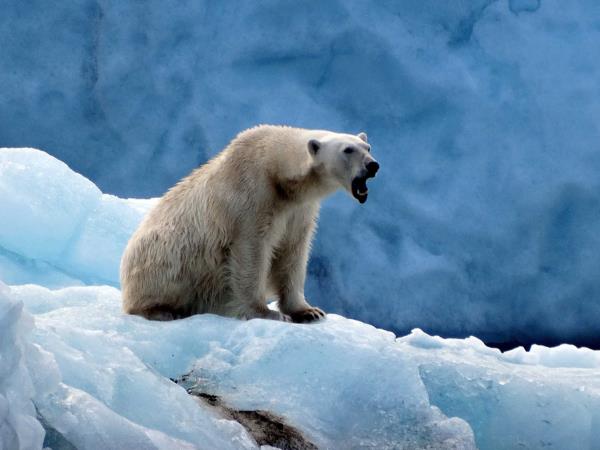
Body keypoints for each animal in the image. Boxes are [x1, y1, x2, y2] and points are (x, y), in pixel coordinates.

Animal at [119, 126, 378, 322]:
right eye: (348, 149)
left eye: (368, 147)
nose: (373, 165)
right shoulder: (252, 196)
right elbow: (251, 251)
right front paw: (268, 313)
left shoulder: (299, 211)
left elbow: (293, 252)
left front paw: (309, 311)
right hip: (164, 258)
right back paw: (162, 311)